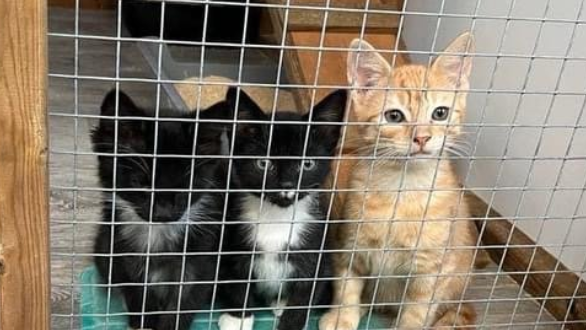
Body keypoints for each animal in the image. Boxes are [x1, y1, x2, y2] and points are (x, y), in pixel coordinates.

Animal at [92, 89, 227, 330]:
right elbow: (138, 295)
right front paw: (142, 322)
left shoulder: (201, 260)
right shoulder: (122, 254)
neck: (158, 234)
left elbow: (183, 303)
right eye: (141, 183)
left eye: (186, 185)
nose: (163, 213)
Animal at [218, 87, 346, 330]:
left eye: (307, 164)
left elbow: (305, 294)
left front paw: (290, 321)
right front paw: (238, 319)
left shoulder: (316, 250)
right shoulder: (234, 242)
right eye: (263, 163)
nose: (286, 185)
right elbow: (238, 282)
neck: (277, 217)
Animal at [322, 34, 476, 330]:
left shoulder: (432, 269)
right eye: (394, 116)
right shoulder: (350, 245)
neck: (402, 188)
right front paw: (343, 317)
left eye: (440, 113)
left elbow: (417, 310)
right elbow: (347, 287)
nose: (422, 137)